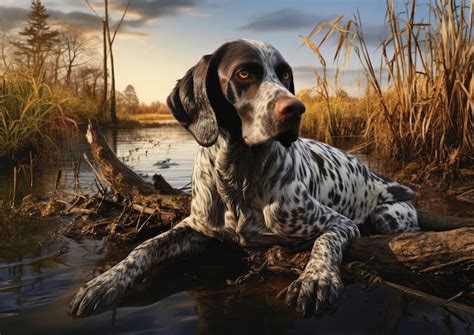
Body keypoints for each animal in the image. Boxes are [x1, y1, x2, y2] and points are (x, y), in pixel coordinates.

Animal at [68, 38, 416, 318]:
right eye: (244, 74)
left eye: (285, 74)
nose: (297, 108)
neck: (239, 175)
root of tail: (377, 176)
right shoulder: (195, 227)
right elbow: (145, 247)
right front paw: (105, 281)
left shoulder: (338, 223)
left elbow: (325, 242)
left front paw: (316, 279)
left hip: (389, 217)